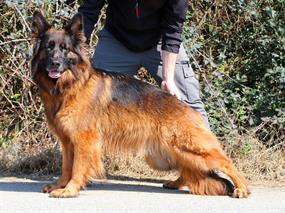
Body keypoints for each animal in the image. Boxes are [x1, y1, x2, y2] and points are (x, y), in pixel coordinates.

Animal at [30, 11, 248, 198]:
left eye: (64, 49)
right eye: (49, 47)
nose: (55, 64)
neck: (70, 86)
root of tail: (188, 109)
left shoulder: (84, 141)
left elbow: (77, 168)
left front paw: (70, 189)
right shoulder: (67, 141)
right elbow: (66, 166)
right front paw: (61, 184)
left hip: (191, 148)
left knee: (226, 162)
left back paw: (242, 187)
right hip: (170, 153)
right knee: (189, 168)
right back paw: (177, 182)